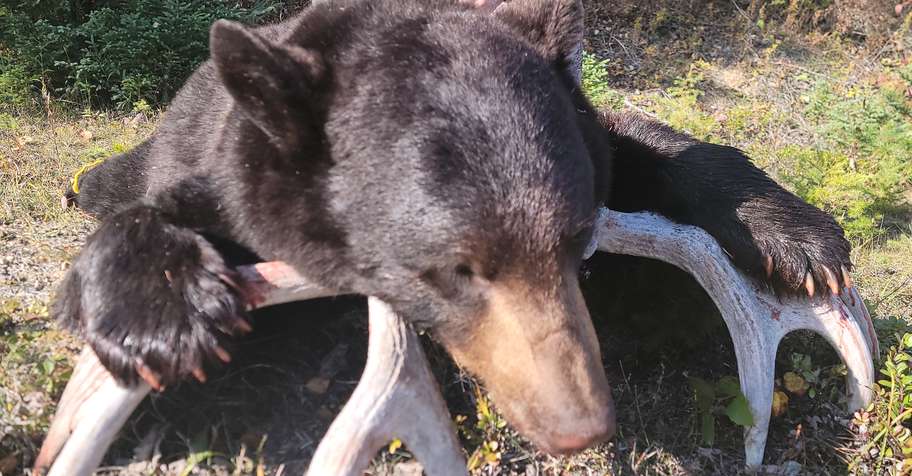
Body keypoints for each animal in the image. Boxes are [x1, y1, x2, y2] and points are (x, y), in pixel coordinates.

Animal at [55, 0, 852, 455]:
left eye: (580, 244)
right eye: (447, 271)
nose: (582, 425)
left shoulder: (585, 128)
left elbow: (656, 144)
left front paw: (802, 240)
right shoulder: (229, 169)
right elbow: (154, 213)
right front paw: (163, 318)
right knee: (113, 178)